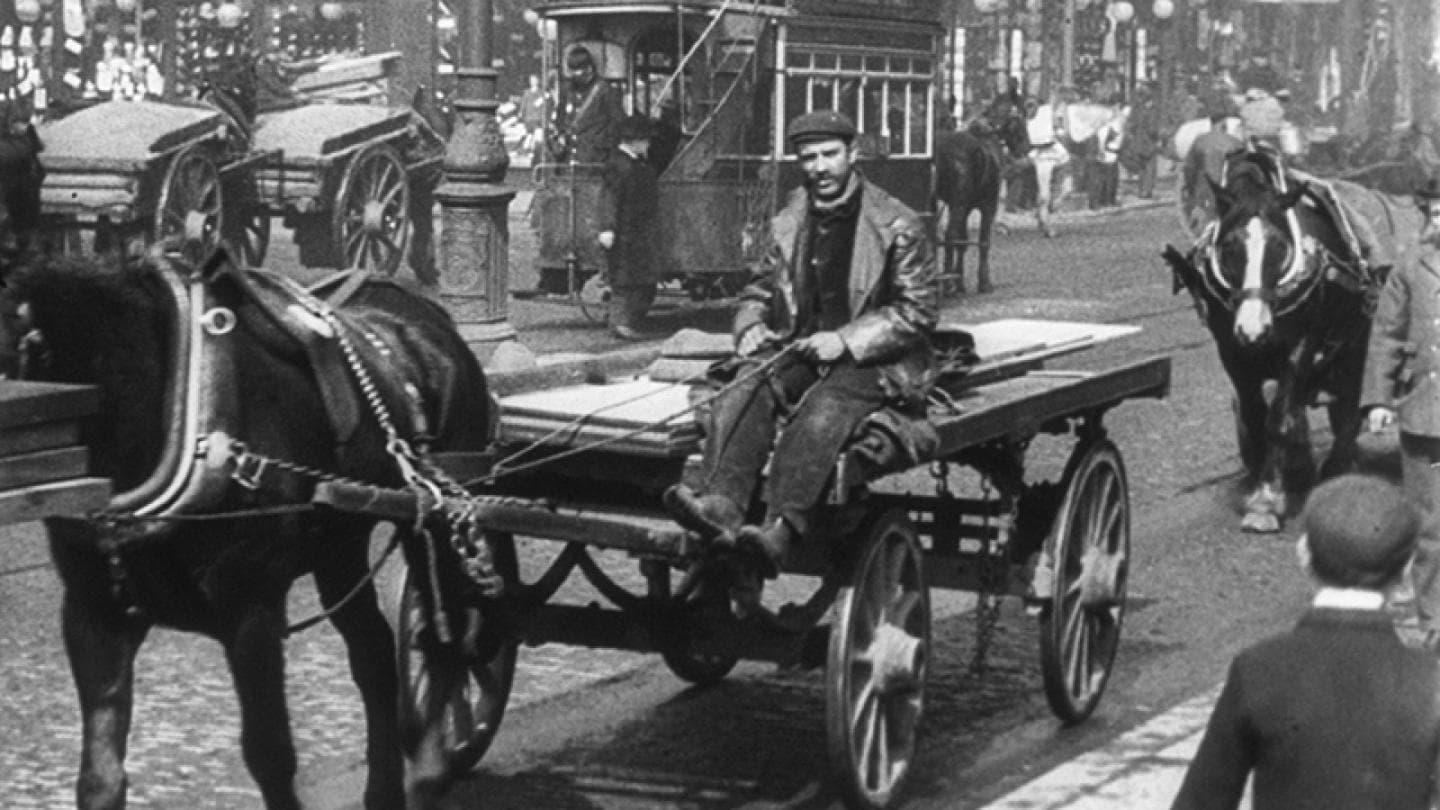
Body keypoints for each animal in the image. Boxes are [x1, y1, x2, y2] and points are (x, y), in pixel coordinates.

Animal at [0, 227, 501, 801]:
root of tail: (431, 319)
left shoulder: (252, 610)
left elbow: (269, 753)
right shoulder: (92, 612)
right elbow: (99, 778)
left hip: (438, 522)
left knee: (450, 635)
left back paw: (434, 762)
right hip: (339, 544)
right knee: (375, 652)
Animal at [933, 110, 1036, 292]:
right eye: (1020, 127)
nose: (1027, 148)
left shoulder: (962, 208)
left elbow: (963, 243)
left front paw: (960, 281)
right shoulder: (988, 205)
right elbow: (983, 242)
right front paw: (984, 282)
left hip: (956, 205)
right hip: (960, 204)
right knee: (950, 235)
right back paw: (946, 282)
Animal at [1157, 146, 1405, 530]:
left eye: (1279, 245)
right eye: (1228, 247)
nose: (1253, 329)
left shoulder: (1302, 344)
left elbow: (1280, 419)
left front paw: (1267, 500)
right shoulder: (1232, 350)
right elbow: (1256, 414)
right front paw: (1268, 480)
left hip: (1357, 336)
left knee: (1348, 405)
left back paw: (1337, 465)